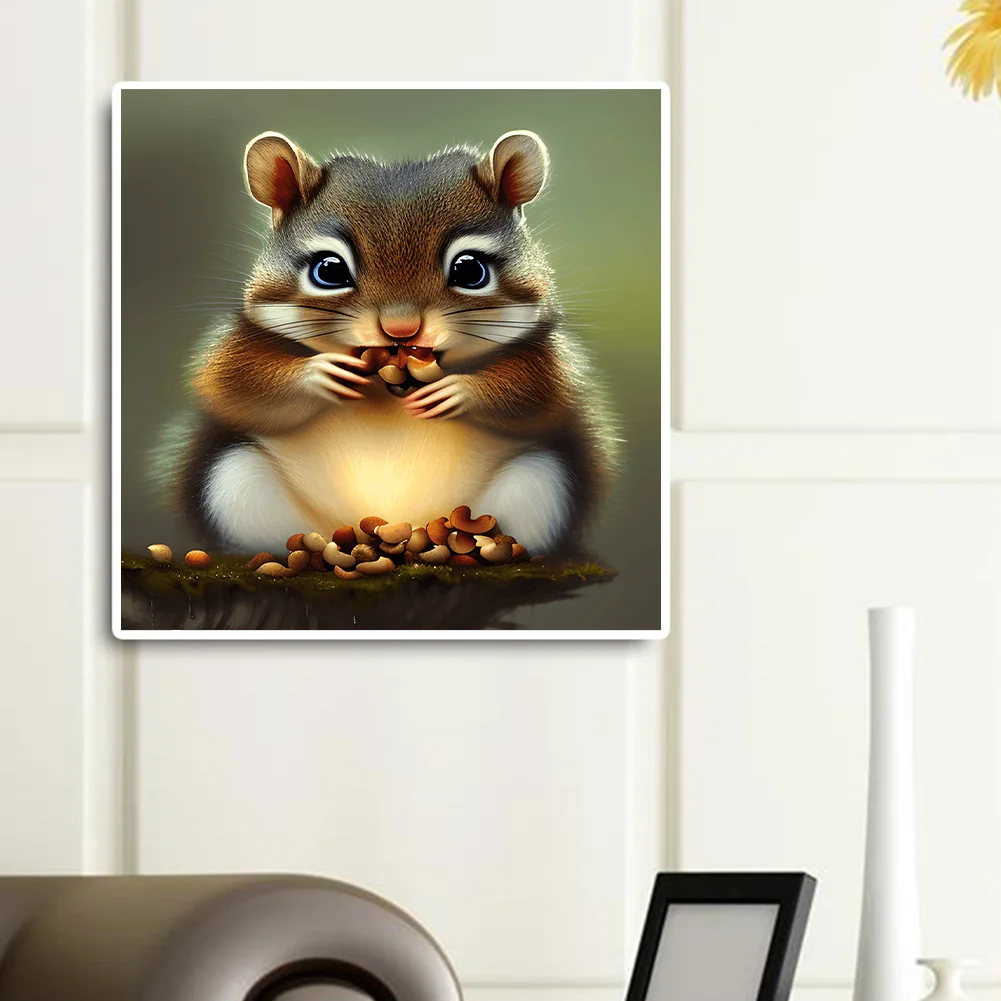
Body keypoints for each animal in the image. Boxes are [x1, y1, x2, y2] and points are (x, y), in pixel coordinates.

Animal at [171, 129, 618, 555]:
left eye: (470, 270)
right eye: (328, 270)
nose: (402, 330)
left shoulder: (547, 356)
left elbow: (541, 395)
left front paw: (456, 391)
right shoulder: (241, 342)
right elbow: (232, 386)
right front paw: (320, 374)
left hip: (540, 486)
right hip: (236, 483)